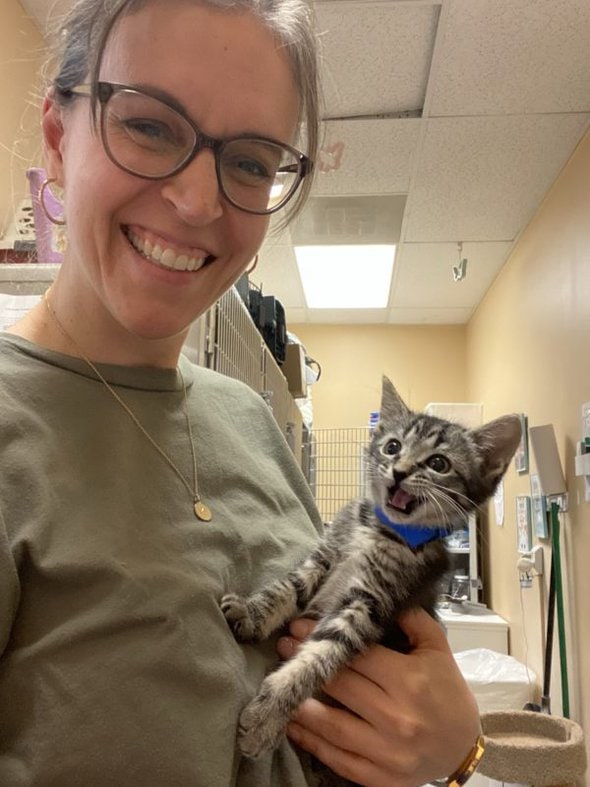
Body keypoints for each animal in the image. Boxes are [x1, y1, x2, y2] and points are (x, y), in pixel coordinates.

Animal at [223, 378, 524, 760]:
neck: (379, 529)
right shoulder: (325, 555)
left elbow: (320, 655)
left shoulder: (370, 601)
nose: (400, 471)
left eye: (439, 463)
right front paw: (251, 614)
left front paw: (268, 715)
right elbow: (288, 587)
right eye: (393, 447)